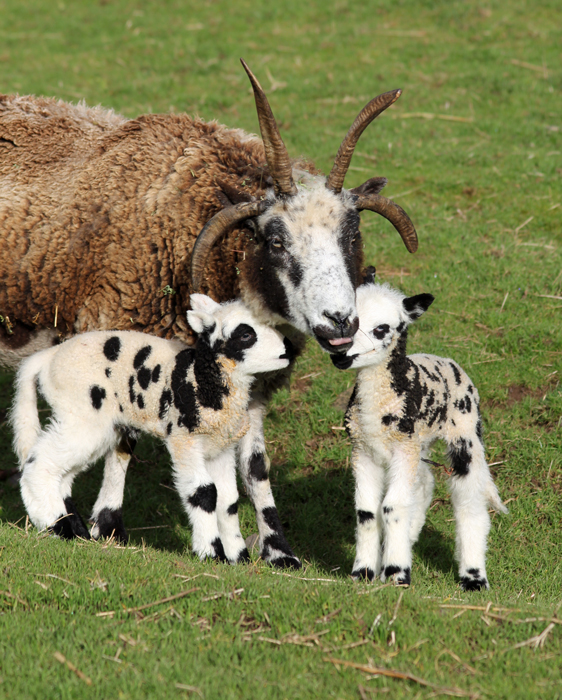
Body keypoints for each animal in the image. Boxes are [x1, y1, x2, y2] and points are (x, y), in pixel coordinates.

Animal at [10, 294, 293, 563]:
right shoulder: (184, 439)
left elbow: (228, 500)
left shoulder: (219, 446)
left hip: (94, 423)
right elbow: (203, 492)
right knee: (40, 463)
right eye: (246, 335)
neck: (202, 379)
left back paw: (76, 530)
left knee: (62, 473)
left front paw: (238, 557)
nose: (288, 348)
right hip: (82, 414)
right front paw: (211, 553)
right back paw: (57, 526)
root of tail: (47, 358)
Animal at [331, 276, 507, 590]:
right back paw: (409, 539)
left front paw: (397, 574)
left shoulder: (403, 447)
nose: (341, 354)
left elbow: (392, 507)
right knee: (424, 484)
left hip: (465, 432)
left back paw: (473, 576)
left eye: (381, 329)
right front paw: (363, 572)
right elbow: (367, 511)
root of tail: (446, 360)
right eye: (347, 321)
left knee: (470, 499)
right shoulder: (363, 449)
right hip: (419, 443)